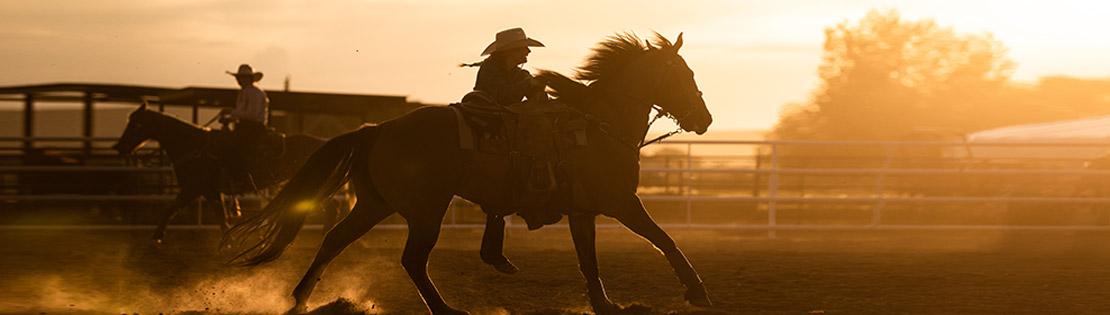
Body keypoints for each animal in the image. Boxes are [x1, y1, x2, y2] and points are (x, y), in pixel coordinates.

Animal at [114, 102, 341, 242]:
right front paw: (228, 242)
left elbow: (170, 208)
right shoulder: (212, 191)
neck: (192, 144)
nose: (120, 147)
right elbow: (221, 217)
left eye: (136, 123)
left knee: (332, 207)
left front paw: (156, 237)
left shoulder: (193, 187)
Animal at [227, 32, 710, 315]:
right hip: (426, 211)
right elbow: (665, 239)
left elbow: (588, 261)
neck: (599, 123)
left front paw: (605, 304)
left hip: (375, 204)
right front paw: (697, 290)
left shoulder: (583, 211)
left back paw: (300, 300)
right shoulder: (622, 203)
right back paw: (445, 310)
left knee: (334, 240)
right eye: (683, 74)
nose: (704, 119)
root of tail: (378, 128)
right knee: (412, 260)